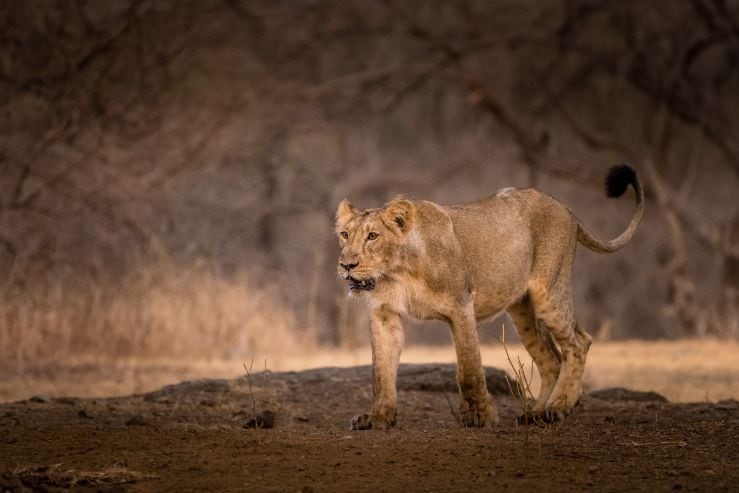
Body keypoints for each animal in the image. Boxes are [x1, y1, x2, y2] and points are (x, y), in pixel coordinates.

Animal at [334, 163, 640, 428]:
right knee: (552, 360)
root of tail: (565, 208)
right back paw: (536, 413)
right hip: (523, 310)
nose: (347, 265)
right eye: (345, 235)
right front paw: (378, 417)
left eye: (373, 236)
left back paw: (560, 405)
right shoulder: (384, 314)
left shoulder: (461, 306)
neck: (397, 272)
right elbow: (381, 373)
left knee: (579, 342)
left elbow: (469, 368)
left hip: (549, 292)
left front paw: (480, 415)